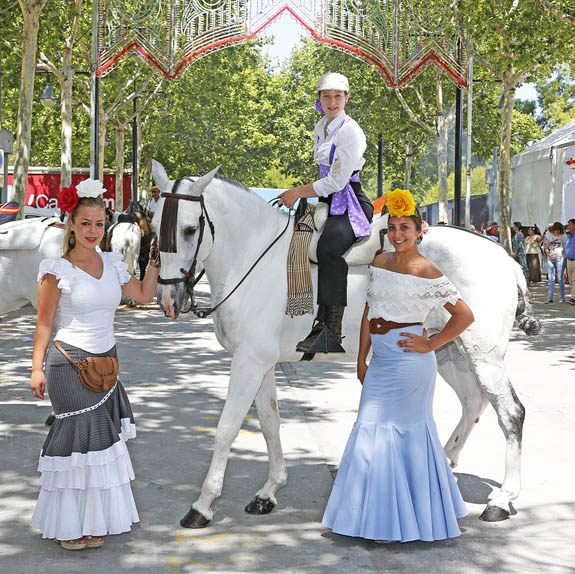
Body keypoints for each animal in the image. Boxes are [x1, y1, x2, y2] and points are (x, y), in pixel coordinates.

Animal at [152, 161, 540, 532]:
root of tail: (505, 258)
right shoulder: (260, 362)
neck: (253, 258)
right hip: (447, 349)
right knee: (474, 401)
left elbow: (227, 428)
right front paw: (269, 492)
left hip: (483, 355)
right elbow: (269, 422)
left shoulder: (249, 362)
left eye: (189, 229)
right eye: (155, 226)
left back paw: (502, 499)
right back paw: (444, 467)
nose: (169, 299)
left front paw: (202, 505)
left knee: (511, 412)